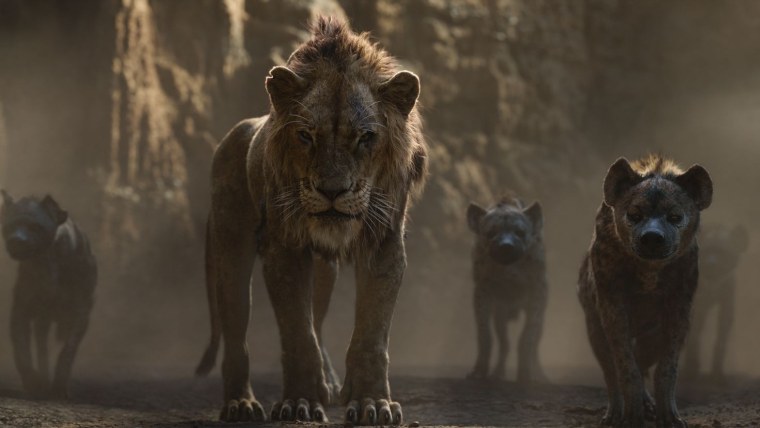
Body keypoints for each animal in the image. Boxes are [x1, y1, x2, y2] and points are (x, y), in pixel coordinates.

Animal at [195, 17, 427, 425]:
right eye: (305, 135)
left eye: (365, 137)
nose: (332, 190)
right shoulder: (284, 249)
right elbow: (297, 334)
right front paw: (299, 402)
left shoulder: (384, 244)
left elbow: (370, 334)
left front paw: (371, 403)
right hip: (230, 251)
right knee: (237, 333)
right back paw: (240, 404)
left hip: (323, 271)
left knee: (317, 320)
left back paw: (330, 383)